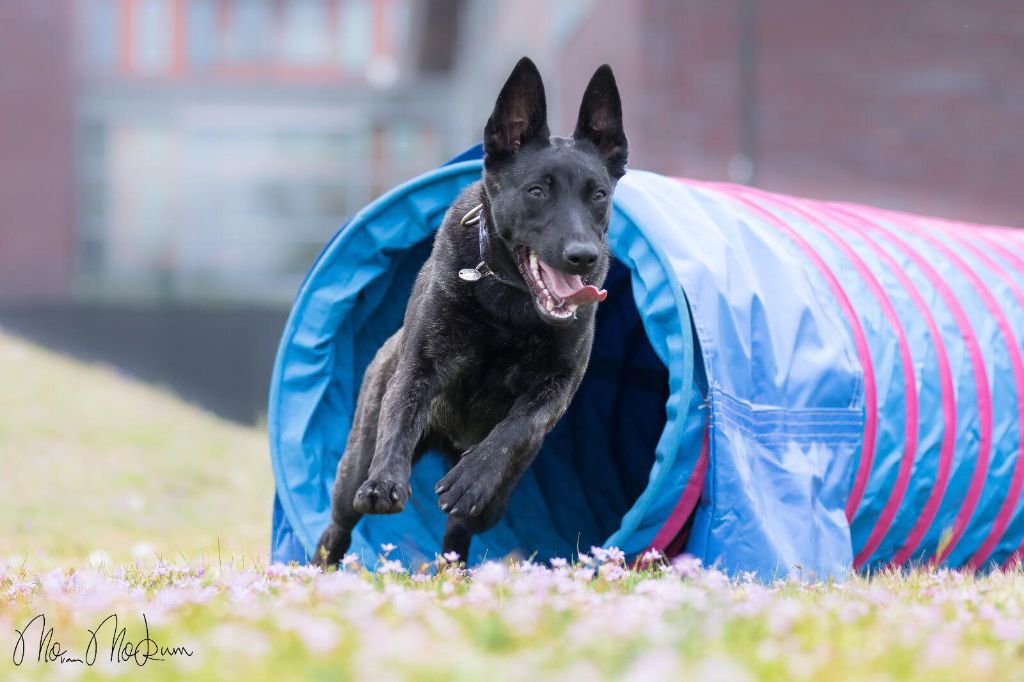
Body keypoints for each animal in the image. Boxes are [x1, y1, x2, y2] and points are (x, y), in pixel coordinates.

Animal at [315, 57, 626, 561]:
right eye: (537, 191)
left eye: (598, 194)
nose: (583, 256)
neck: (511, 301)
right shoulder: (419, 366)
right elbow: (400, 417)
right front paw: (386, 481)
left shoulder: (557, 388)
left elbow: (515, 427)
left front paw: (471, 478)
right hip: (351, 470)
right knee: (336, 528)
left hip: (496, 505)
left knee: (461, 531)